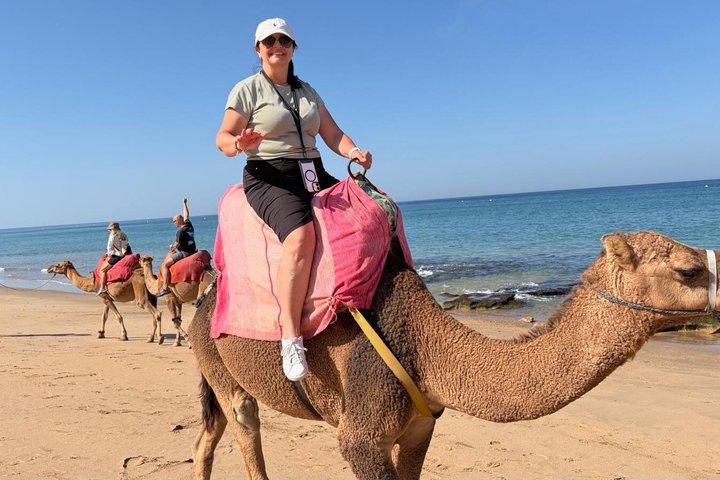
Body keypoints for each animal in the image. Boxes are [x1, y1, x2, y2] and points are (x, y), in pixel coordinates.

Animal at [187, 231, 718, 479]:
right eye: (688, 270)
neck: (428, 350)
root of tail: (202, 305)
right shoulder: (361, 434)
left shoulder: (419, 430)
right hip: (220, 364)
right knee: (244, 422)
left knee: (208, 435)